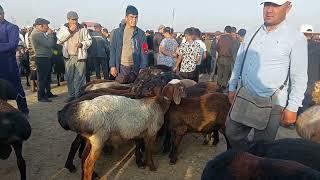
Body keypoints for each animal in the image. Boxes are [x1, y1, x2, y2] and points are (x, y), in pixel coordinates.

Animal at [58, 82, 186, 179]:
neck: (159, 104)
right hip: (99, 139)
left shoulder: (141, 132)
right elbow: (149, 150)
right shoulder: (152, 132)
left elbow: (142, 148)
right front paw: (152, 167)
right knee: (89, 164)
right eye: (180, 89)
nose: (186, 96)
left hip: (89, 139)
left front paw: (143, 163)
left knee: (84, 158)